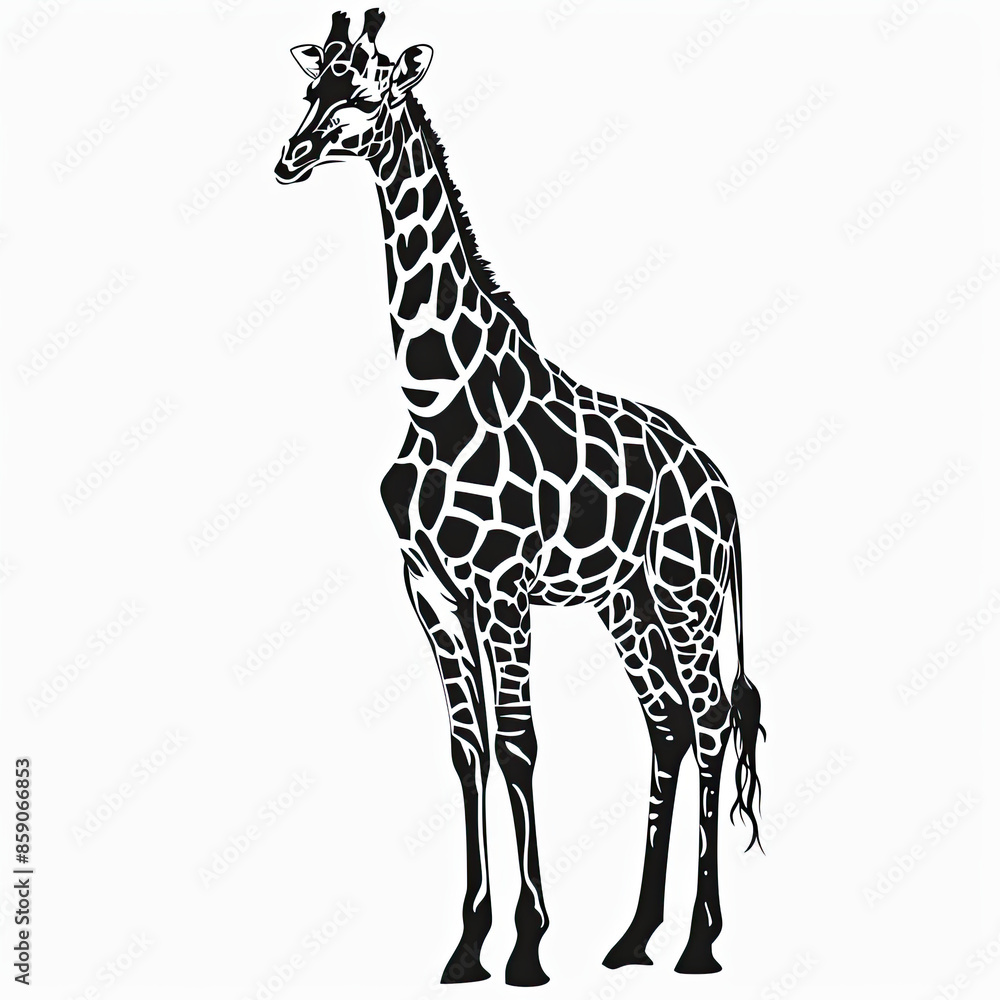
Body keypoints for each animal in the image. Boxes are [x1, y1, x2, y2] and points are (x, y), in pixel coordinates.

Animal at [276, 9, 764, 986]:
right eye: (313, 86)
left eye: (367, 94)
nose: (289, 157)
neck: (433, 398)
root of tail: (722, 485)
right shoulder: (429, 588)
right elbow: (468, 750)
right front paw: (468, 945)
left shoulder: (502, 589)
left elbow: (519, 743)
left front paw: (529, 946)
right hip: (626, 602)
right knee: (664, 723)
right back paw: (634, 936)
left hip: (687, 597)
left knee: (710, 719)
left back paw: (698, 942)